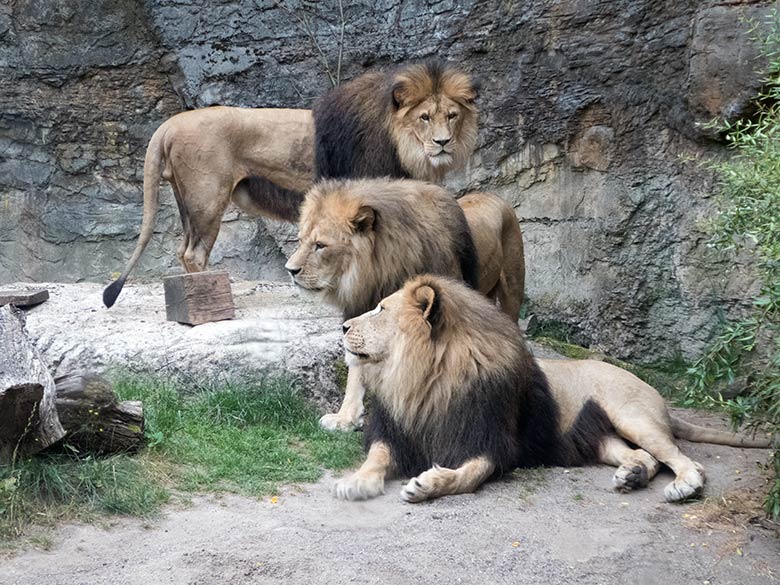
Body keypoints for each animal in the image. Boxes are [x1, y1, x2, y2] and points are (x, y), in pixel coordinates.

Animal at [282, 180, 524, 432]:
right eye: (300, 241)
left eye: (320, 245)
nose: (290, 270)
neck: (379, 273)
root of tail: (493, 196)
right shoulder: (362, 316)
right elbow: (356, 369)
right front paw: (346, 418)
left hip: (512, 288)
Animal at [336, 274, 772, 502]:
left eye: (380, 309)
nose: (342, 326)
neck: (423, 378)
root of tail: (653, 391)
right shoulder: (396, 430)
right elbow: (376, 457)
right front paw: (356, 481)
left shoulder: (493, 441)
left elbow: (471, 474)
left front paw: (429, 484)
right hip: (597, 437)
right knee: (644, 457)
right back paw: (631, 476)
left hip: (632, 416)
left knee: (683, 459)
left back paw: (683, 485)